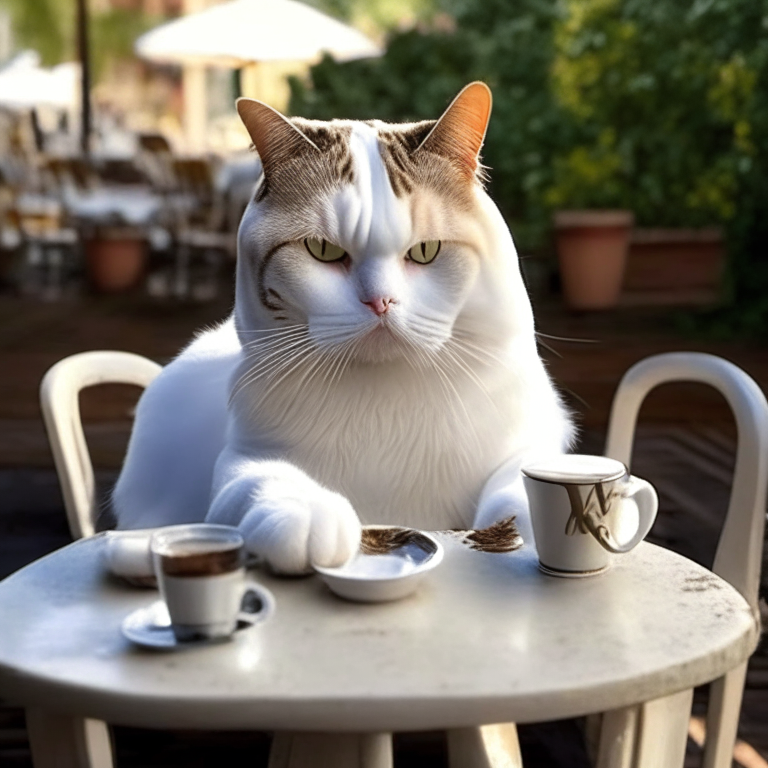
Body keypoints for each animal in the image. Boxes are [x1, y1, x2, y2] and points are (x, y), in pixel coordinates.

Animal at [111, 85, 572, 576]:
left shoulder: (533, 437)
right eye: (323, 250)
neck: (387, 401)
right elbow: (262, 479)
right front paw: (304, 514)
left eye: (425, 251)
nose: (380, 302)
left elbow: (520, 482)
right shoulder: (245, 455)